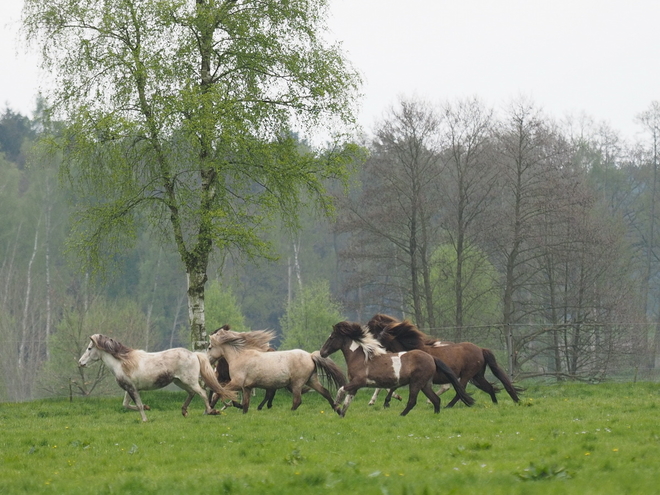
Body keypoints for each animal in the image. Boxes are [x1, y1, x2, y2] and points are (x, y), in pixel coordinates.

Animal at [77, 334, 235, 422]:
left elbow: (137, 404)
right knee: (192, 393)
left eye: (89, 348)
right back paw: (184, 411)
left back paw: (211, 411)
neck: (122, 362)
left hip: (189, 381)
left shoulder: (131, 388)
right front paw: (148, 408)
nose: (80, 363)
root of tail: (194, 354)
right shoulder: (129, 389)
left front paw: (145, 420)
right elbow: (126, 405)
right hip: (179, 382)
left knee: (201, 393)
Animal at [209, 328, 348, 412]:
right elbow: (245, 404)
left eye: (210, 347)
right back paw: (337, 409)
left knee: (297, 400)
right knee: (325, 392)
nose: (209, 361)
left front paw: (210, 409)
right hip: (311, 381)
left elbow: (219, 392)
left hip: (297, 383)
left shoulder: (236, 383)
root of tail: (310, 356)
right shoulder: (246, 387)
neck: (239, 356)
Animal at [320, 322, 474, 418]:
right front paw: (341, 413)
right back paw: (436, 415)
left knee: (413, 401)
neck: (361, 357)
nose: (322, 353)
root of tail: (431, 357)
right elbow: (348, 400)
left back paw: (401, 415)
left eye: (331, 337)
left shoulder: (358, 382)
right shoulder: (355, 386)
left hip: (416, 383)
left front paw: (336, 405)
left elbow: (341, 390)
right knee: (436, 399)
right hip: (425, 384)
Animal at [366, 314, 520, 406]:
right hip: (477, 375)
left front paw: (381, 401)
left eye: (380, 338)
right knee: (488, 387)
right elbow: (390, 386)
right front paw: (386, 401)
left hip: (467, 375)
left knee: (460, 390)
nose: (371, 348)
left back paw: (448, 405)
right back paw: (495, 404)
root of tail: (481, 349)